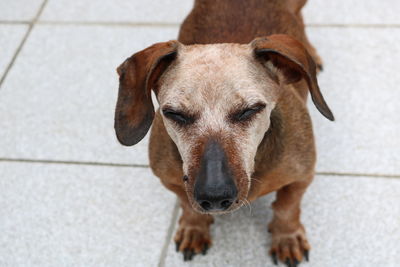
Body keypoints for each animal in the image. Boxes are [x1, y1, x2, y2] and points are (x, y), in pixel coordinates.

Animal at [115, 0, 334, 266]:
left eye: (250, 110)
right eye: (174, 114)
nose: (215, 196)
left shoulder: (302, 176)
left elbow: (287, 207)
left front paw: (287, 237)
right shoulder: (169, 179)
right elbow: (187, 205)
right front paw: (194, 227)